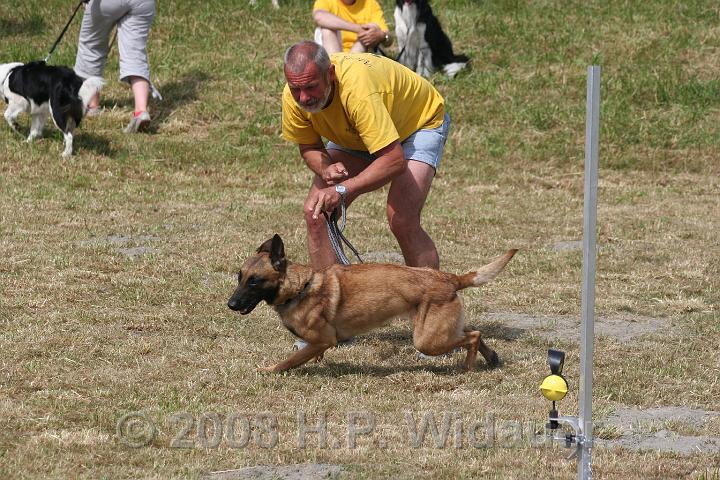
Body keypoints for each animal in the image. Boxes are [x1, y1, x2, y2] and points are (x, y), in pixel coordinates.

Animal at [228, 234, 517, 373]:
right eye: (239, 277)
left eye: (255, 281)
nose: (230, 304)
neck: (300, 287)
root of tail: (449, 278)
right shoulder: (317, 342)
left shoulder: (323, 339)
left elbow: (289, 361)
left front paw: (270, 370)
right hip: (441, 330)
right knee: (475, 333)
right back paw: (490, 358)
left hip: (427, 339)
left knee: (473, 336)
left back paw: (468, 368)